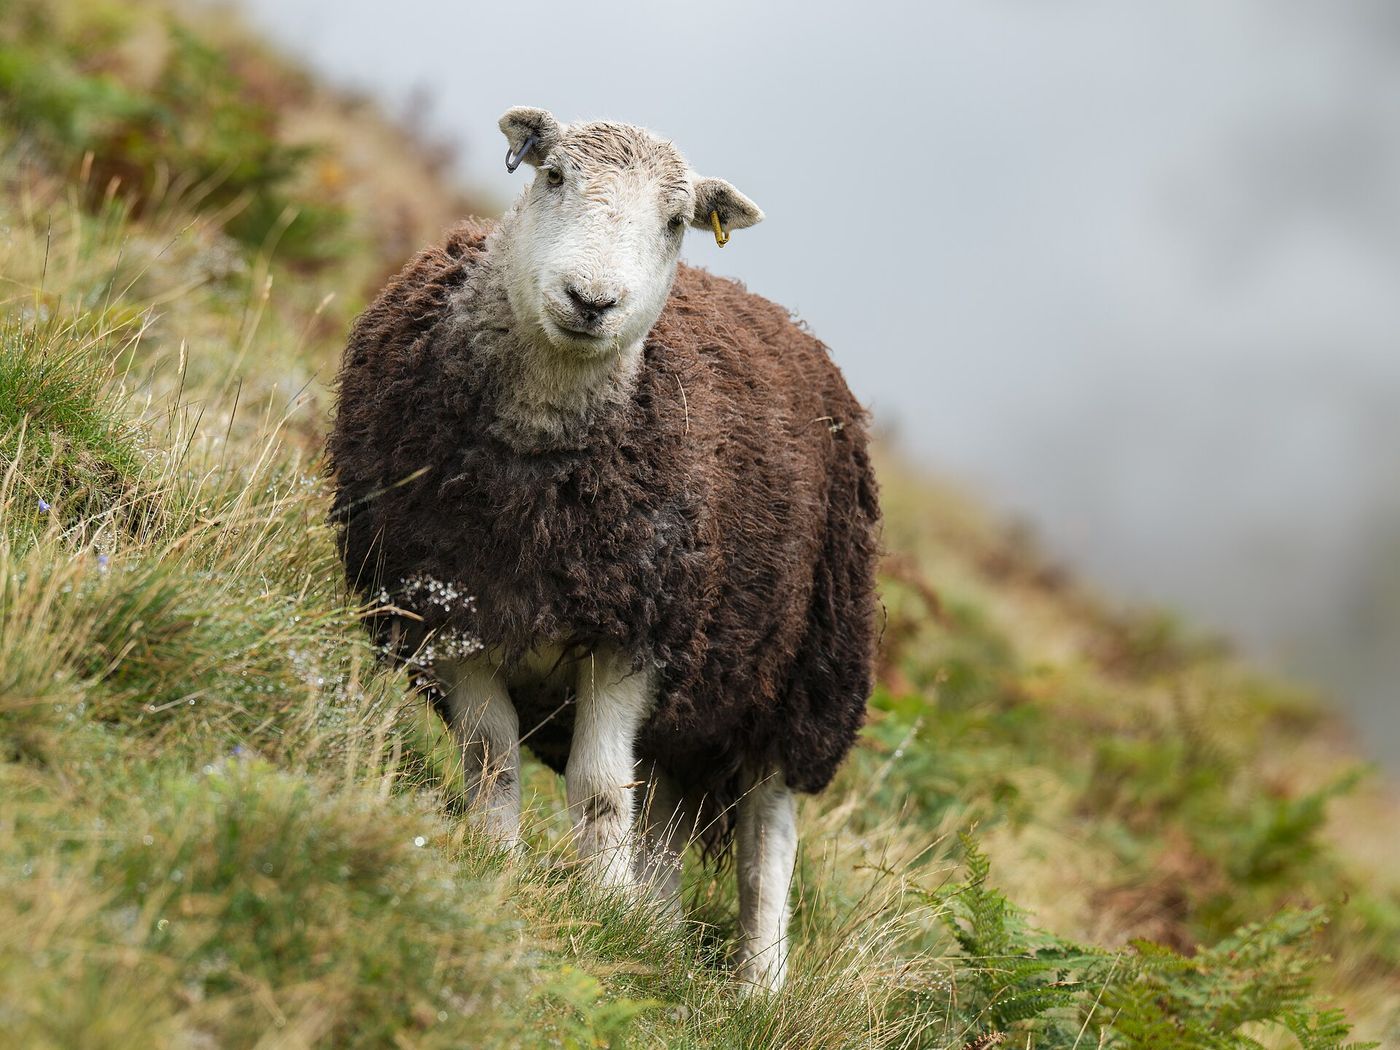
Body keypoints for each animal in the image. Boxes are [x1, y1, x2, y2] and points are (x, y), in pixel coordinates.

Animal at [328, 106, 881, 992]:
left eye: (676, 222)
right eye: (553, 176)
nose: (591, 301)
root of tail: (785, 319)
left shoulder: (635, 636)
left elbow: (596, 789)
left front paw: (600, 908)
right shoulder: (451, 608)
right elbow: (491, 754)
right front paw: (498, 862)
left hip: (801, 679)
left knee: (767, 838)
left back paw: (757, 987)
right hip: (694, 703)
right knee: (663, 812)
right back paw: (655, 929)